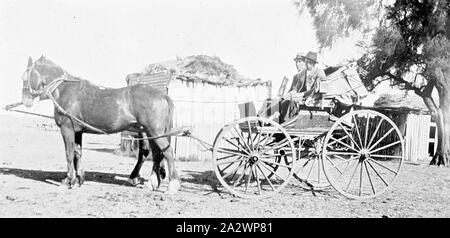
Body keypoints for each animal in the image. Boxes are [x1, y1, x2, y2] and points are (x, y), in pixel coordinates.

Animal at [20, 55, 179, 193]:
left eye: (25, 77)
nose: (26, 101)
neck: (66, 91)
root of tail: (162, 95)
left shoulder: (67, 129)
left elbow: (69, 154)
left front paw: (68, 181)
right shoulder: (78, 131)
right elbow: (77, 154)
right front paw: (78, 180)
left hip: (155, 132)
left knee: (168, 152)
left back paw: (172, 185)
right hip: (150, 132)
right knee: (157, 155)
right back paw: (152, 183)